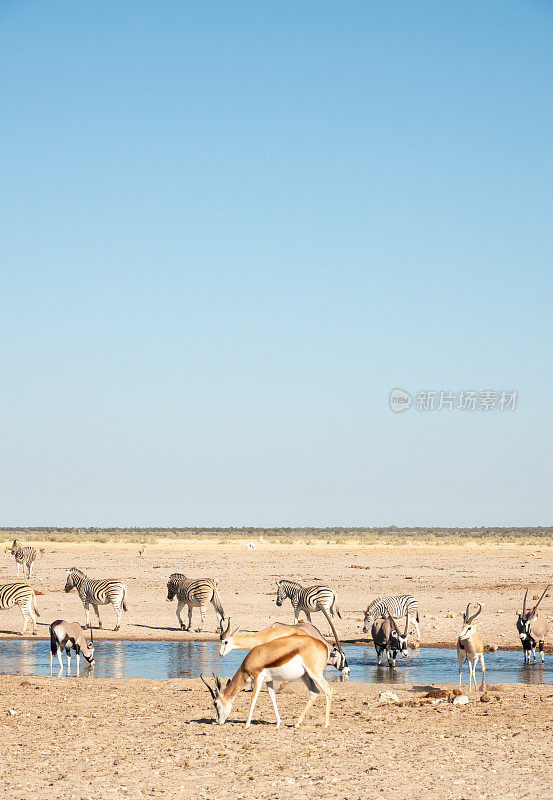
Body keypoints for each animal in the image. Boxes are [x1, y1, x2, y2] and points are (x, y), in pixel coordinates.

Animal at [203, 636, 332, 728]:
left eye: (215, 703)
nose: (217, 721)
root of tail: (324, 646)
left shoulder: (258, 678)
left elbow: (253, 698)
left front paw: (246, 725)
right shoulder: (269, 681)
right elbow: (272, 697)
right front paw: (278, 723)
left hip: (314, 674)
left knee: (328, 690)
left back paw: (325, 724)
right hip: (306, 675)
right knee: (314, 692)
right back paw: (296, 723)